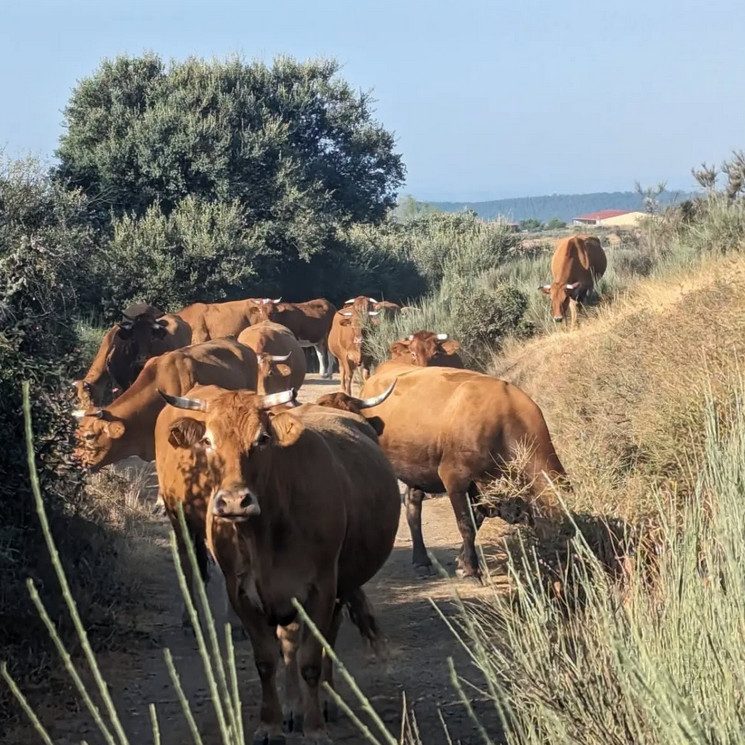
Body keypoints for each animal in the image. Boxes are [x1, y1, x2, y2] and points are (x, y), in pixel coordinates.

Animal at [160, 386, 398, 740]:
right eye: (207, 440)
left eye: (262, 438)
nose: (235, 501)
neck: (265, 536)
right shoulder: (241, 593)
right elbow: (267, 660)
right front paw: (270, 723)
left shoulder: (321, 588)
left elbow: (311, 659)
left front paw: (315, 729)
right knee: (289, 645)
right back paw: (292, 708)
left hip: (340, 585)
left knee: (326, 638)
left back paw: (324, 701)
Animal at [316, 364, 568, 580]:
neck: (502, 421)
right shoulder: (454, 478)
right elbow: (466, 524)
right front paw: (471, 569)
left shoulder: (480, 488)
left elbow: (476, 520)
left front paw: (462, 560)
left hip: (416, 471)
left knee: (412, 506)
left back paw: (421, 560)